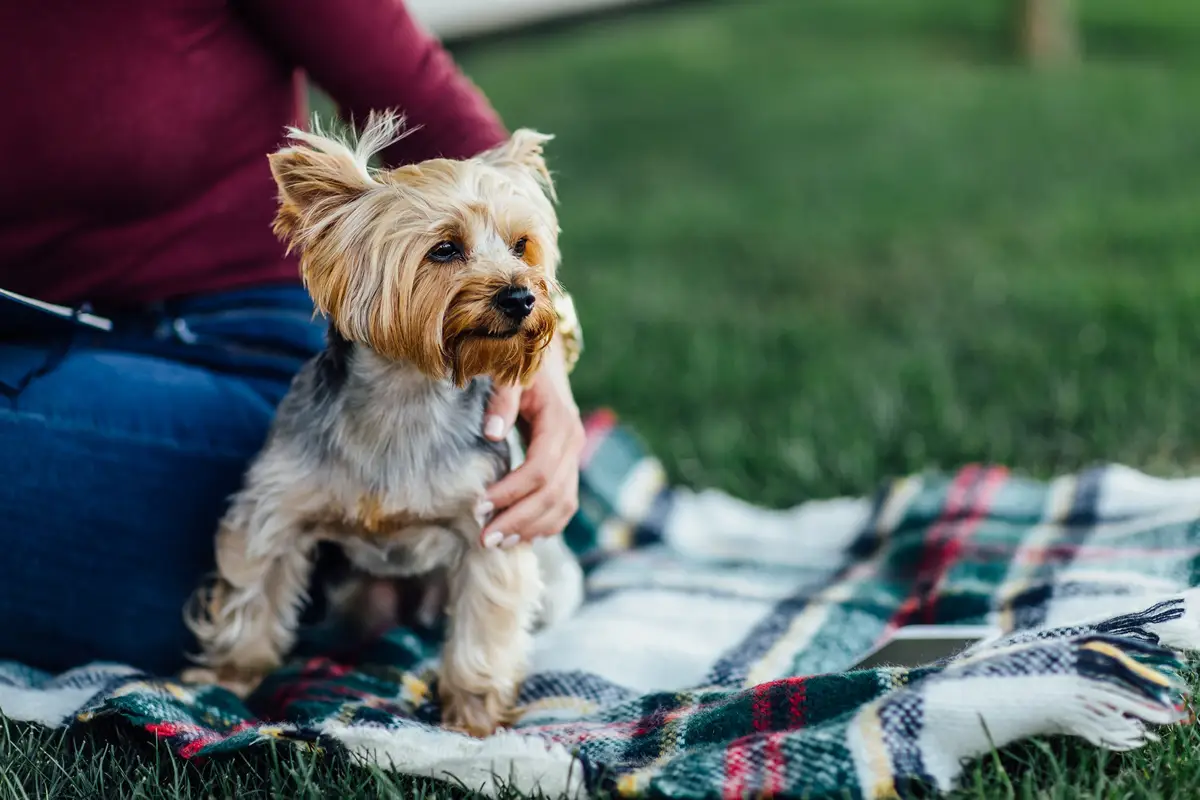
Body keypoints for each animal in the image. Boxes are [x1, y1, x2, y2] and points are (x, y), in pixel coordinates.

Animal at [178, 112, 585, 738]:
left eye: (522, 246)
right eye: (444, 249)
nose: (521, 296)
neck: (407, 392)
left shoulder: (493, 526)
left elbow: (484, 628)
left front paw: (474, 720)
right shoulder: (275, 510)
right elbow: (253, 595)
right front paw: (225, 681)